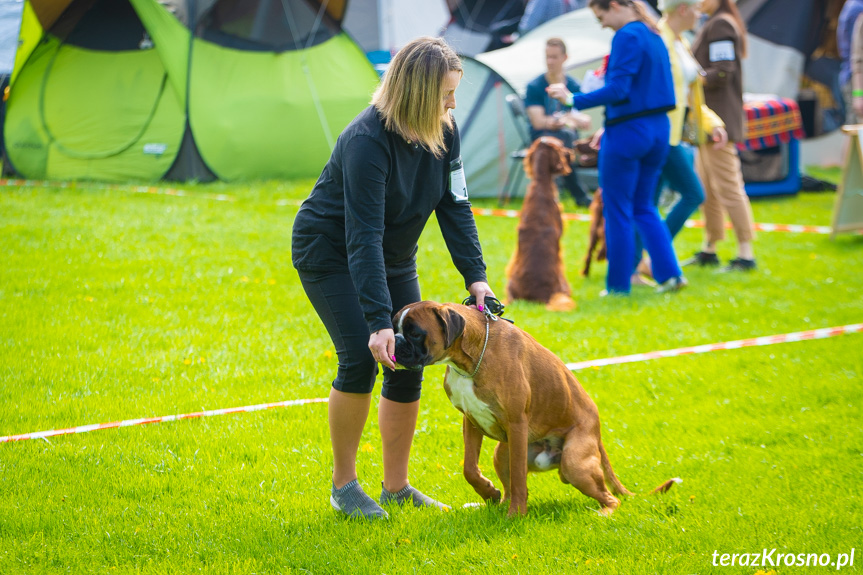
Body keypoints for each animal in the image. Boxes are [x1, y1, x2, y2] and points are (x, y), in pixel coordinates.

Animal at [392, 302, 676, 516]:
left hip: (574, 463)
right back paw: (498, 504)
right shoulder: (471, 421)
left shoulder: (516, 424)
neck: (471, 356)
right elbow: (470, 469)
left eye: (414, 333)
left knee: (610, 497)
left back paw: (602, 512)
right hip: (501, 453)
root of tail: (598, 433)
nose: (393, 341)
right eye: (395, 327)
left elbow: (519, 477)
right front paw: (488, 492)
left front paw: (516, 515)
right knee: (508, 483)